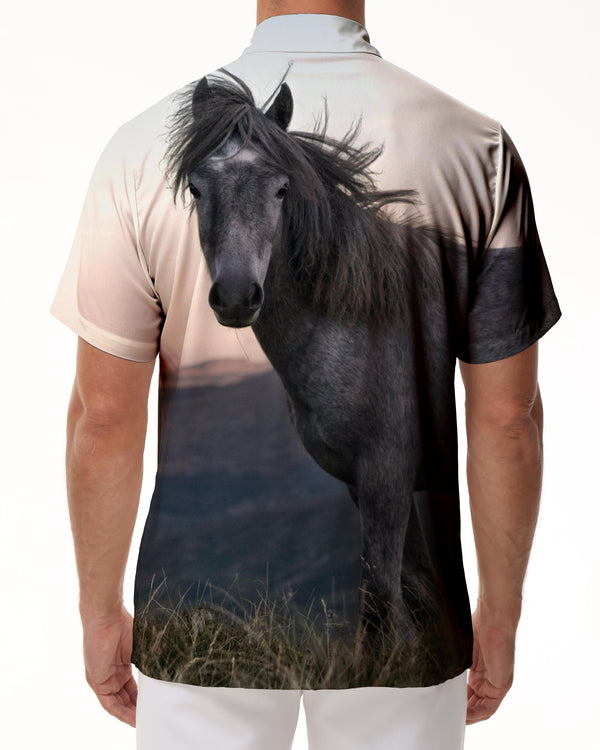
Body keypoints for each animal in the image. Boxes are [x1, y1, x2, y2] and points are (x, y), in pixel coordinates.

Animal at [162, 67, 470, 653]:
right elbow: (415, 598)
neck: (370, 323)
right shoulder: (367, 482)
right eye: (196, 187)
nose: (235, 295)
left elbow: (380, 606)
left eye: (281, 189)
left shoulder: (386, 476)